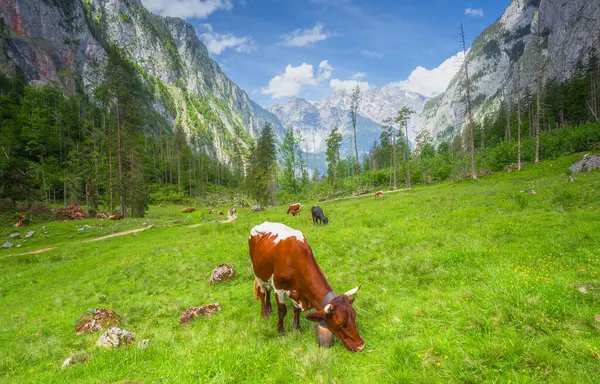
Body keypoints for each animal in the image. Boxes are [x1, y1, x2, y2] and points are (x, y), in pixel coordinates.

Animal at [248, 222, 366, 352]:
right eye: (340, 323)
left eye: (354, 317)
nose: (361, 345)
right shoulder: (279, 288)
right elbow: (282, 310)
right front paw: (281, 331)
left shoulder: (298, 292)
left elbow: (297, 310)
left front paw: (296, 329)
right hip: (257, 273)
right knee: (262, 292)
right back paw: (264, 312)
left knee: (268, 290)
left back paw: (269, 308)